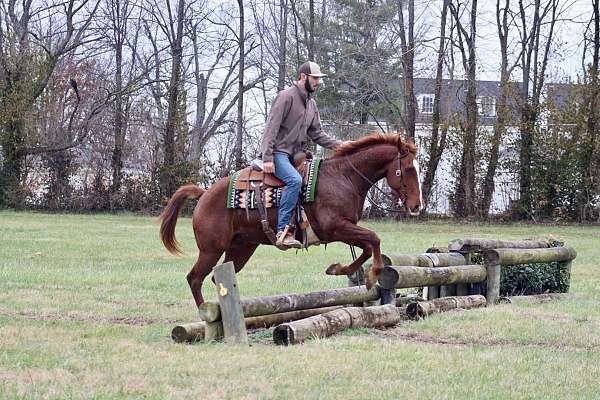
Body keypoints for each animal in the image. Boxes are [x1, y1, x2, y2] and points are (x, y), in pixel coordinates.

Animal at [159, 134, 422, 306]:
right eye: (409, 169)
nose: (417, 205)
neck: (343, 177)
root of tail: (204, 194)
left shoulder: (346, 228)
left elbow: (367, 247)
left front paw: (341, 269)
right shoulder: (336, 228)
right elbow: (373, 239)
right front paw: (370, 275)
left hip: (241, 249)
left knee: (216, 278)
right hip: (211, 249)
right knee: (195, 279)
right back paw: (206, 314)